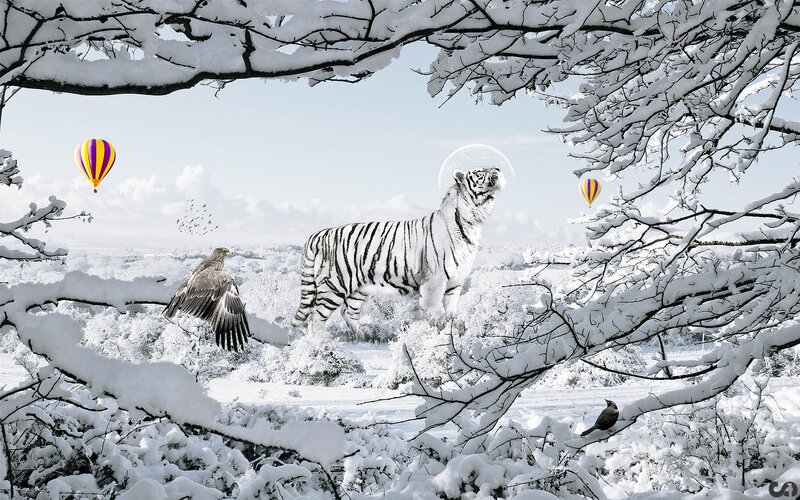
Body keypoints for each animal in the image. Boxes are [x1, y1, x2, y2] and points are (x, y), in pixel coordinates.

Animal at [291, 166, 505, 337]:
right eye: (480, 171)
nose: (498, 169)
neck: (473, 221)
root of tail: (317, 234)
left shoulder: (456, 281)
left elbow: (452, 313)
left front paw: (454, 334)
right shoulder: (435, 281)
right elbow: (433, 313)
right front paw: (433, 335)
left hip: (359, 288)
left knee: (348, 312)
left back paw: (364, 335)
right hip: (334, 285)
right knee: (316, 317)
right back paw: (320, 343)